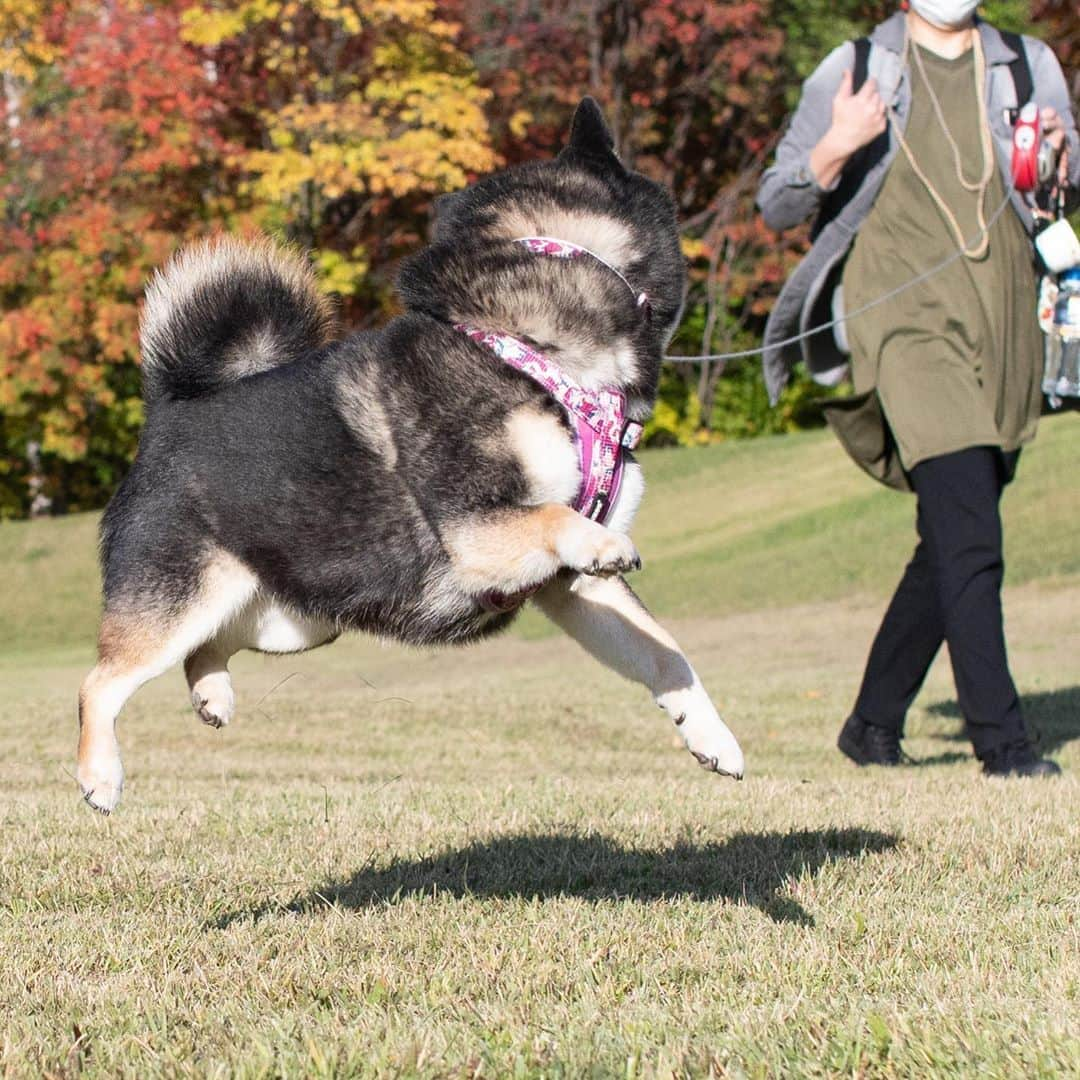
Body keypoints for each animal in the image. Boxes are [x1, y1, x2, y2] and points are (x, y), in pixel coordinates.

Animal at [79, 99, 747, 812]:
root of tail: (167, 415)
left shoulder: (574, 586)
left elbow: (665, 652)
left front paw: (711, 734)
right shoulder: (476, 526)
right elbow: (554, 517)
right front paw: (605, 545)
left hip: (292, 617)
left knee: (202, 650)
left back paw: (212, 695)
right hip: (184, 598)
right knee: (101, 683)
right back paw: (99, 775)